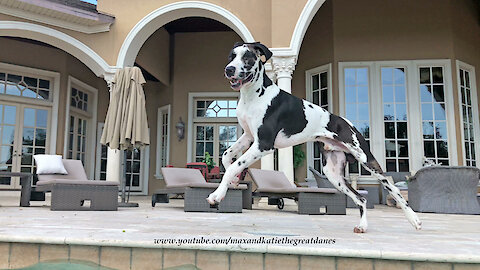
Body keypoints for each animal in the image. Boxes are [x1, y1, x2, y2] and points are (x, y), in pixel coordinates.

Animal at [204, 41, 422, 232]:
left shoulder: (263, 144)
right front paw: (232, 182)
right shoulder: (249, 137)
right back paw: (362, 226)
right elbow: (226, 157)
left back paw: (414, 219)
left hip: (366, 160)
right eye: (231, 56)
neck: (255, 96)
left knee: (392, 187)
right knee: (361, 198)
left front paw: (218, 193)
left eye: (247, 57)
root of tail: (347, 122)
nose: (229, 69)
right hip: (333, 174)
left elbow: (235, 165)